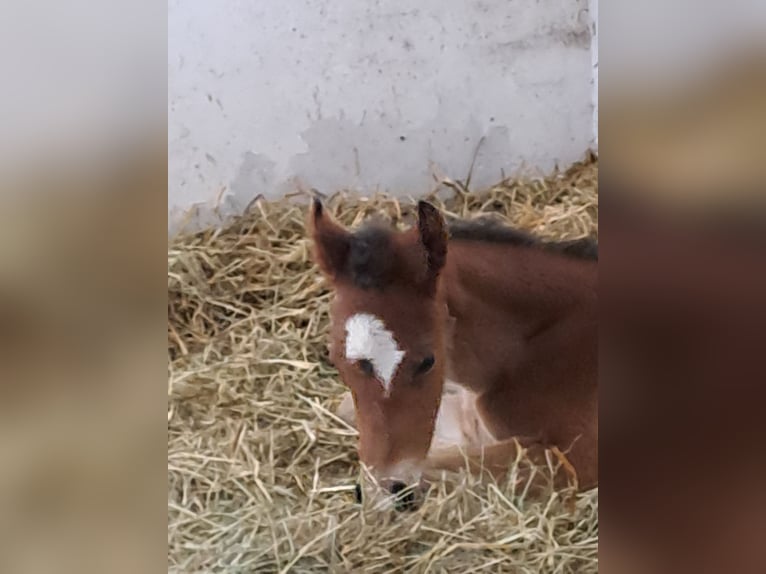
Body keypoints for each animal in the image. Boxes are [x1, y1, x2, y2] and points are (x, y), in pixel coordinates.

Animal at [308, 200, 596, 510]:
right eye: (335, 360)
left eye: (428, 362)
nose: (389, 490)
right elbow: (346, 408)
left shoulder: (573, 463)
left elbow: (444, 464)